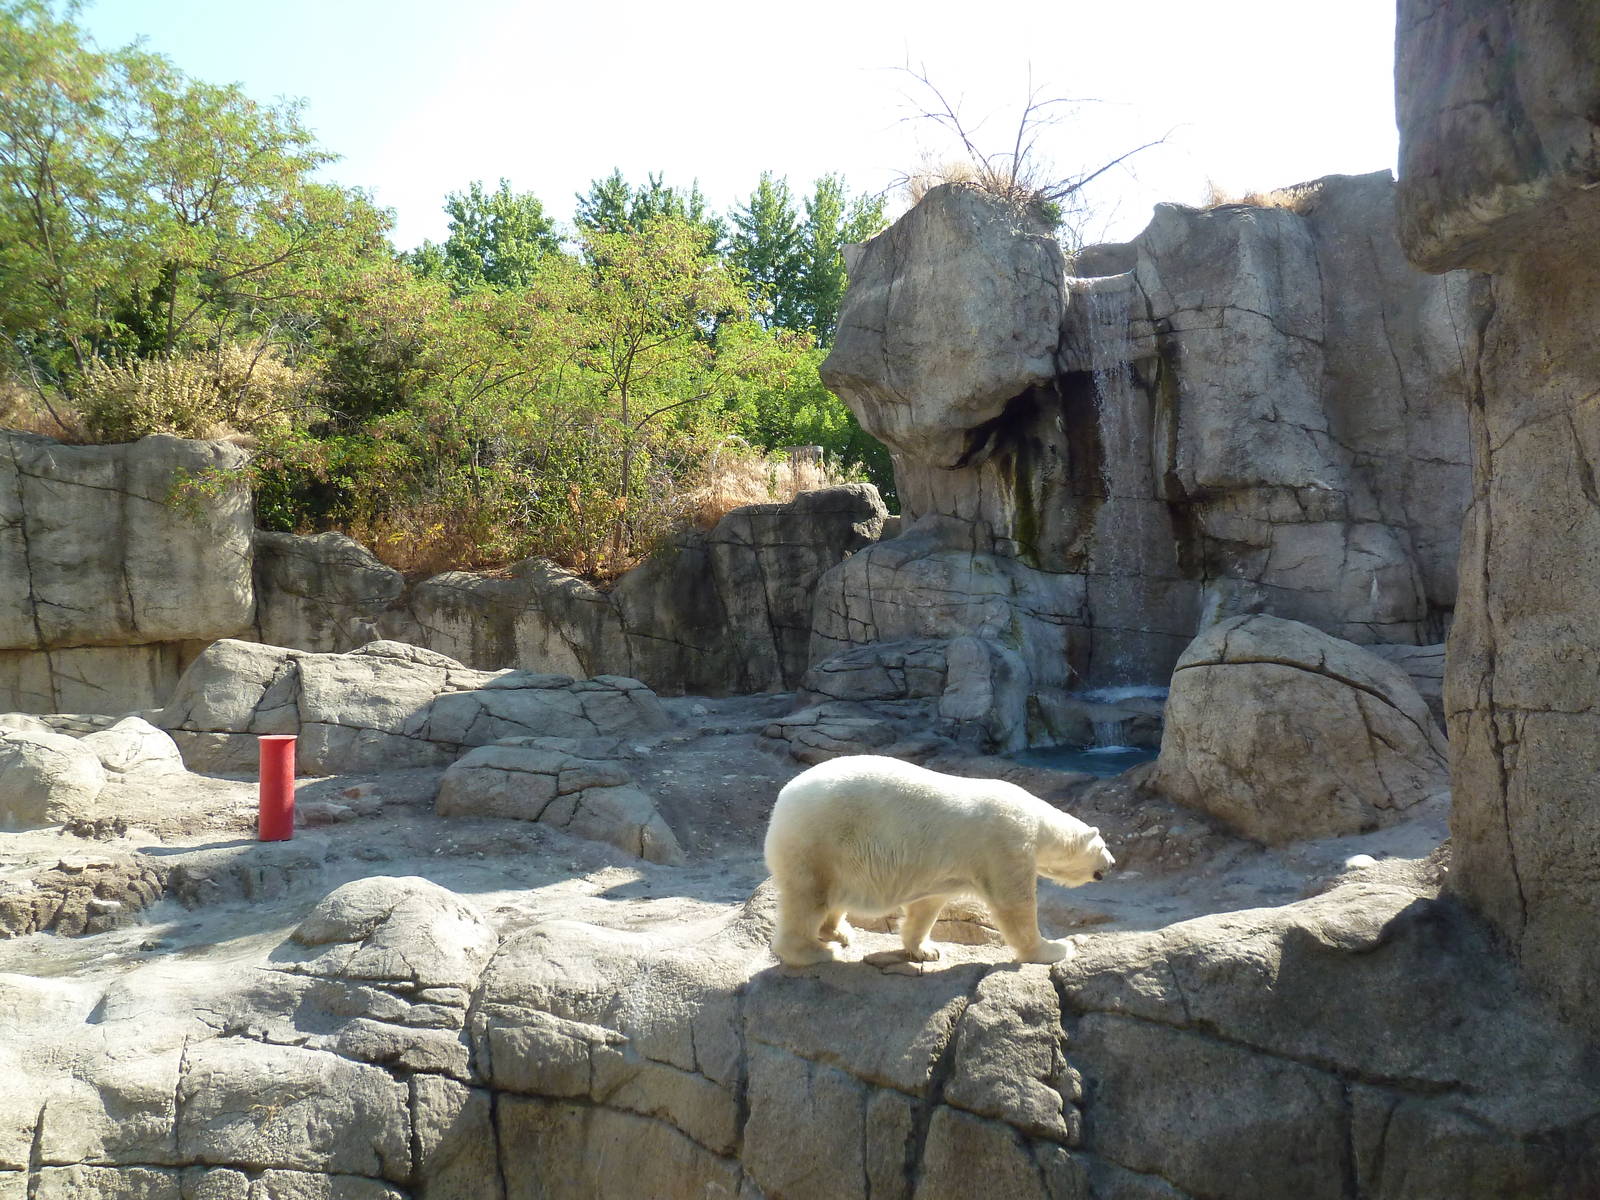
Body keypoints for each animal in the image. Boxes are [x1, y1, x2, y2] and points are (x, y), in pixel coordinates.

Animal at [763, 754, 1114, 968]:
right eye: (1104, 845)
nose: (1111, 863)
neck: (1038, 823)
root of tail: (782, 800)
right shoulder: (1005, 844)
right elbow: (1014, 905)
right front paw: (1055, 949)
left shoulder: (940, 868)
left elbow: (927, 905)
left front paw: (925, 949)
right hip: (818, 840)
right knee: (808, 898)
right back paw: (817, 950)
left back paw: (839, 932)